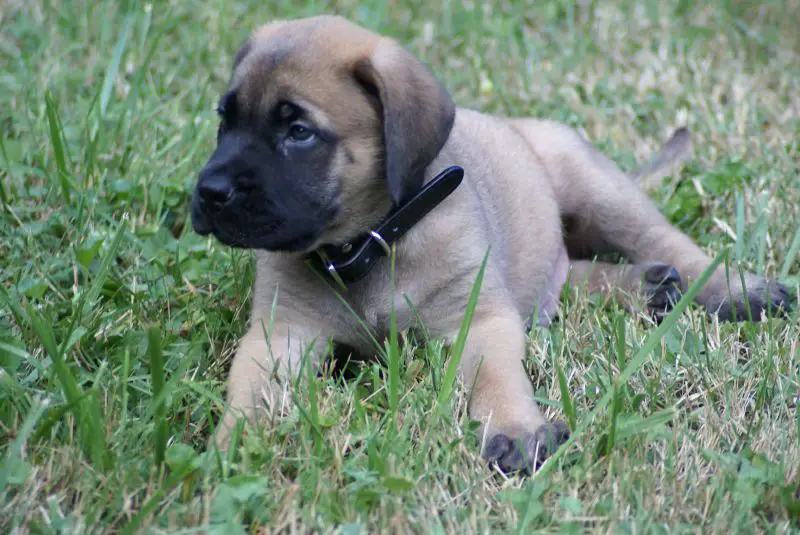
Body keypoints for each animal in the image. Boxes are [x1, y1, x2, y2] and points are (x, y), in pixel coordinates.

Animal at [189, 14, 792, 474]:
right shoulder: (280, 336)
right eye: (225, 121)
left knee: (671, 243)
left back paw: (735, 290)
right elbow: (248, 393)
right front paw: (229, 448)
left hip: (597, 190)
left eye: (298, 132)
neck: (372, 246)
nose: (208, 193)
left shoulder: (479, 319)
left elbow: (495, 377)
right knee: (573, 274)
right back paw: (646, 285)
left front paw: (517, 428)